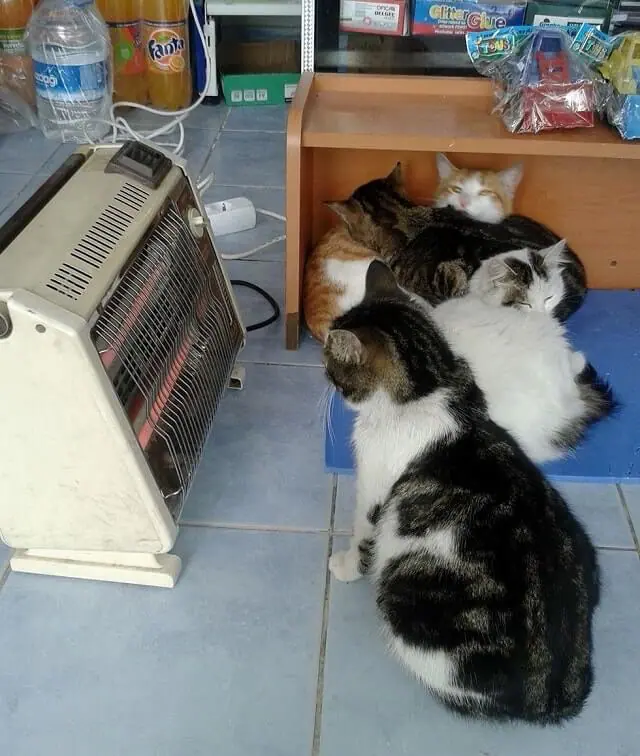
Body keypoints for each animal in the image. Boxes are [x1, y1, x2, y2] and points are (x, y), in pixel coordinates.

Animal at [324, 262, 600, 728]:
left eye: (331, 361)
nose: (320, 369)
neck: (428, 385)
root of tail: (550, 695)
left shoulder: (375, 489)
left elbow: (362, 534)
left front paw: (343, 565)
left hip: (403, 598)